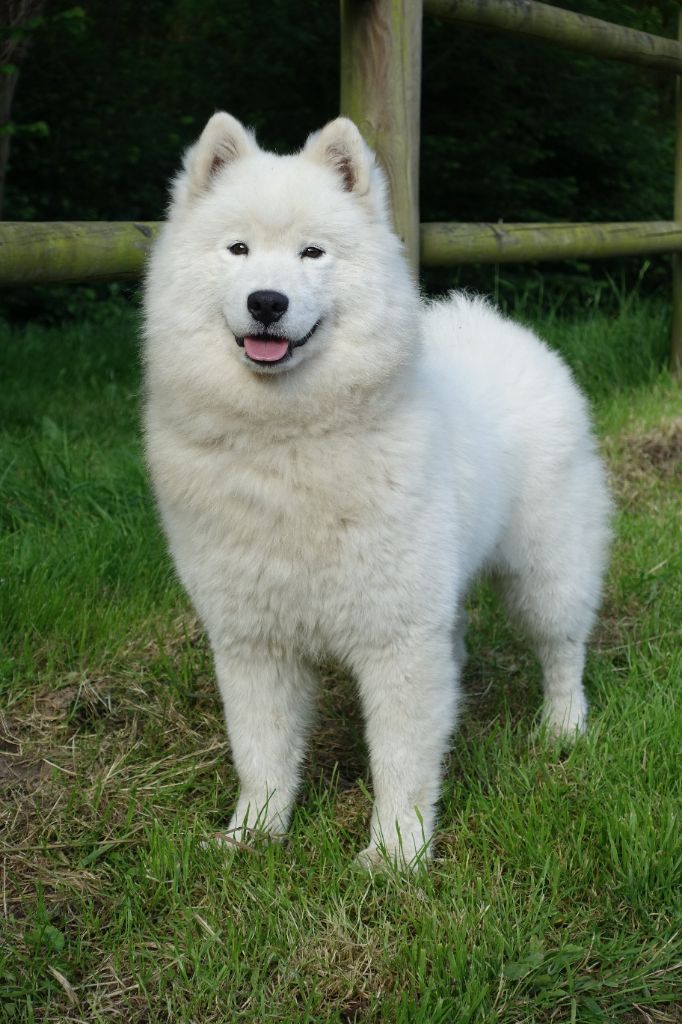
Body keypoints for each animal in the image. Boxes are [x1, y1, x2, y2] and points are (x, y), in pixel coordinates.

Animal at [143, 110, 610, 864]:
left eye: (313, 253)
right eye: (238, 249)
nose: (266, 302)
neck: (289, 445)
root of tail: (497, 324)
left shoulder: (398, 638)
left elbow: (400, 757)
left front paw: (395, 856)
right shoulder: (253, 641)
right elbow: (261, 752)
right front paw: (253, 834)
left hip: (548, 570)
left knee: (562, 649)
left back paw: (563, 728)